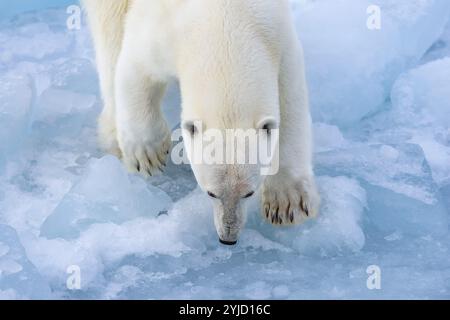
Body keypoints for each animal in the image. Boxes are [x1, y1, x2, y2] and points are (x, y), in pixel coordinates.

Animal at [83, 0, 320, 245]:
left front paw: (287, 202)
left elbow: (290, 100)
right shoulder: (160, 28)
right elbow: (136, 69)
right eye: (211, 192)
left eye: (249, 192)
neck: (225, 16)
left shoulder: (277, 34)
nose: (228, 237)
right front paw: (147, 155)